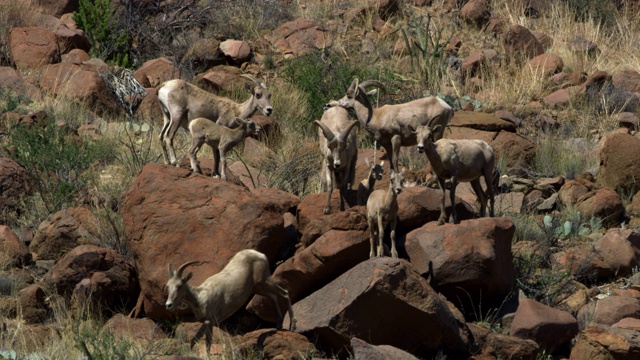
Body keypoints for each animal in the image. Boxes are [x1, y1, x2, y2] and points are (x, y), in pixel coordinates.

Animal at [324, 78, 456, 173]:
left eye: (348, 95)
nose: (328, 105)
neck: (376, 117)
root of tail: (447, 106)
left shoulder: (396, 138)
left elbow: (395, 159)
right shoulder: (386, 144)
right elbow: (391, 162)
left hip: (437, 133)